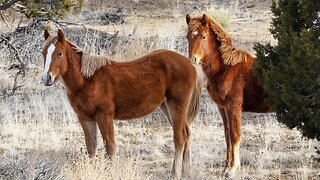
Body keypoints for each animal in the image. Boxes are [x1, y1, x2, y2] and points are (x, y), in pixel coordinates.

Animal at [39, 28, 200, 179]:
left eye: (60, 53)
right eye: (43, 52)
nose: (46, 78)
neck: (87, 80)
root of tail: (190, 63)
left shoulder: (104, 116)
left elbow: (110, 147)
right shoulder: (85, 118)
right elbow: (91, 147)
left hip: (176, 106)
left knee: (179, 138)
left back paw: (176, 174)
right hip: (167, 107)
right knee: (187, 135)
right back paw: (186, 173)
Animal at [185, 13, 272, 177]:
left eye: (203, 36)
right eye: (187, 36)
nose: (193, 59)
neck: (226, 68)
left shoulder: (234, 107)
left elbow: (235, 135)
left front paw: (232, 170)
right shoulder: (223, 108)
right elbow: (227, 136)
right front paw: (226, 167)